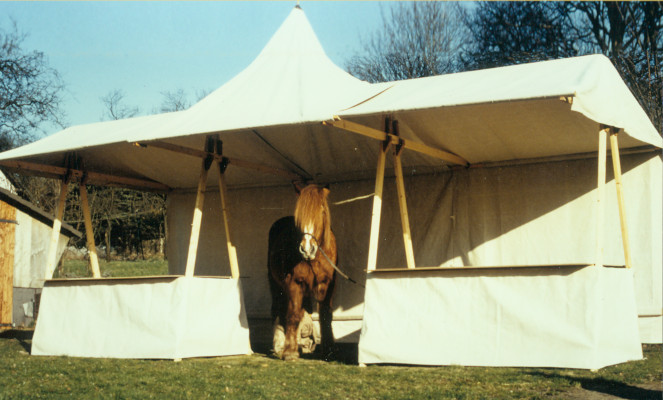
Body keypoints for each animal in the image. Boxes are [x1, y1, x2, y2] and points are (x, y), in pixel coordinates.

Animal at [268, 186, 338, 360]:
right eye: (299, 215)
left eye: (322, 211)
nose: (306, 249)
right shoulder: (294, 283)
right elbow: (292, 315)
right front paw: (290, 352)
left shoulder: (327, 284)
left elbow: (325, 314)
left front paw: (329, 350)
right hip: (276, 286)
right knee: (278, 310)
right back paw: (280, 346)